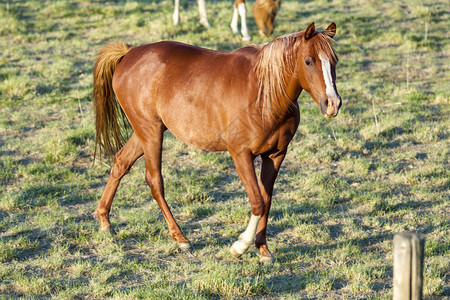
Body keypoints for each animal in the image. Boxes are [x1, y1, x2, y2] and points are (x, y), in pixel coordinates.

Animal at [94, 22, 342, 262]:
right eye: (308, 61)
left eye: (334, 61)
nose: (333, 103)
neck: (264, 93)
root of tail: (130, 53)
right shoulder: (241, 154)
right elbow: (257, 202)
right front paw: (240, 246)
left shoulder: (276, 154)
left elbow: (267, 201)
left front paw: (263, 250)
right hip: (151, 132)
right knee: (155, 181)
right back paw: (180, 238)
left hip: (146, 131)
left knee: (121, 162)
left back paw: (105, 221)